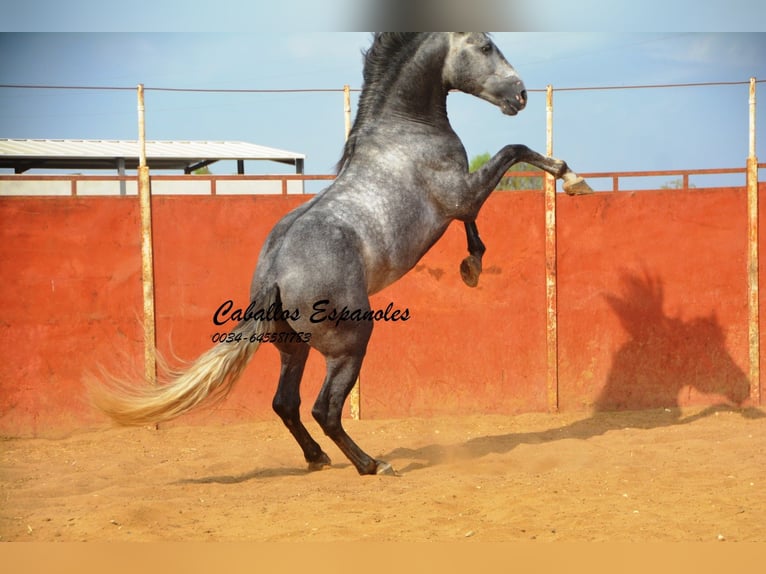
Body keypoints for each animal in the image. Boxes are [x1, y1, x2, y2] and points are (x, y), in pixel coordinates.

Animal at [94, 33, 592, 480]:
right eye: (486, 46)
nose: (521, 94)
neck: (404, 132)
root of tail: (272, 276)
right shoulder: (460, 195)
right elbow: (514, 152)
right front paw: (572, 180)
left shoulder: (460, 202)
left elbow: (478, 218)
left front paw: (472, 267)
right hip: (351, 341)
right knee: (325, 409)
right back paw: (373, 464)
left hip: (292, 348)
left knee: (286, 403)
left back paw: (318, 459)